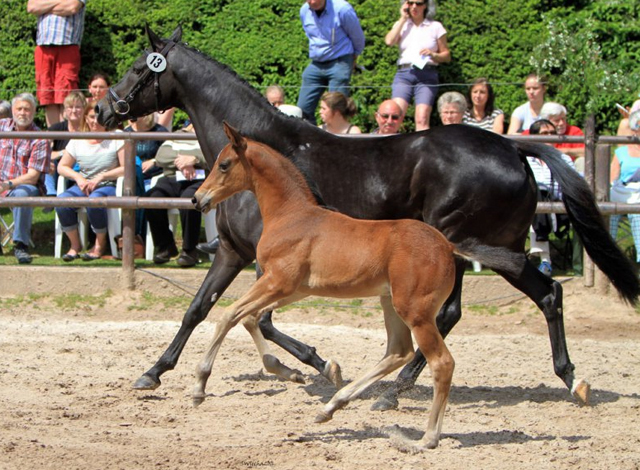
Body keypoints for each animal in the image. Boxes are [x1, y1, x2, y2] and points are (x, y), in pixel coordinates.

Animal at [191, 123, 460, 450]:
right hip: (391, 303)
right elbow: (251, 318)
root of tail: (447, 247)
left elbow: (229, 315)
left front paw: (200, 385)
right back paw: (331, 406)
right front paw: (293, 372)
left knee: (441, 363)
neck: (291, 216)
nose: (197, 198)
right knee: (399, 351)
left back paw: (428, 437)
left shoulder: (277, 281)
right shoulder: (294, 288)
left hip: (415, 311)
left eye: (224, 164)